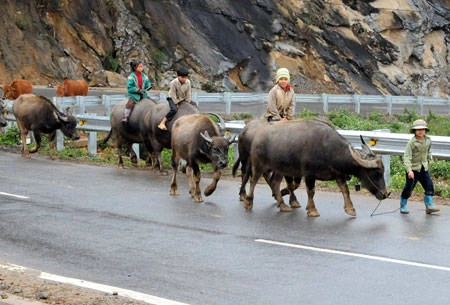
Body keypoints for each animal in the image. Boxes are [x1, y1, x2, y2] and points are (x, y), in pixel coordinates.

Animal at [244, 119, 388, 216]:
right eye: (375, 174)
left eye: (383, 172)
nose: (385, 194)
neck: (328, 149)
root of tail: (258, 135)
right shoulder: (309, 174)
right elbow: (311, 191)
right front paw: (312, 210)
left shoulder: (338, 174)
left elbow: (345, 190)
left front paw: (350, 209)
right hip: (259, 165)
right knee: (253, 181)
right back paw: (248, 202)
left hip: (280, 169)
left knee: (274, 182)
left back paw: (283, 205)